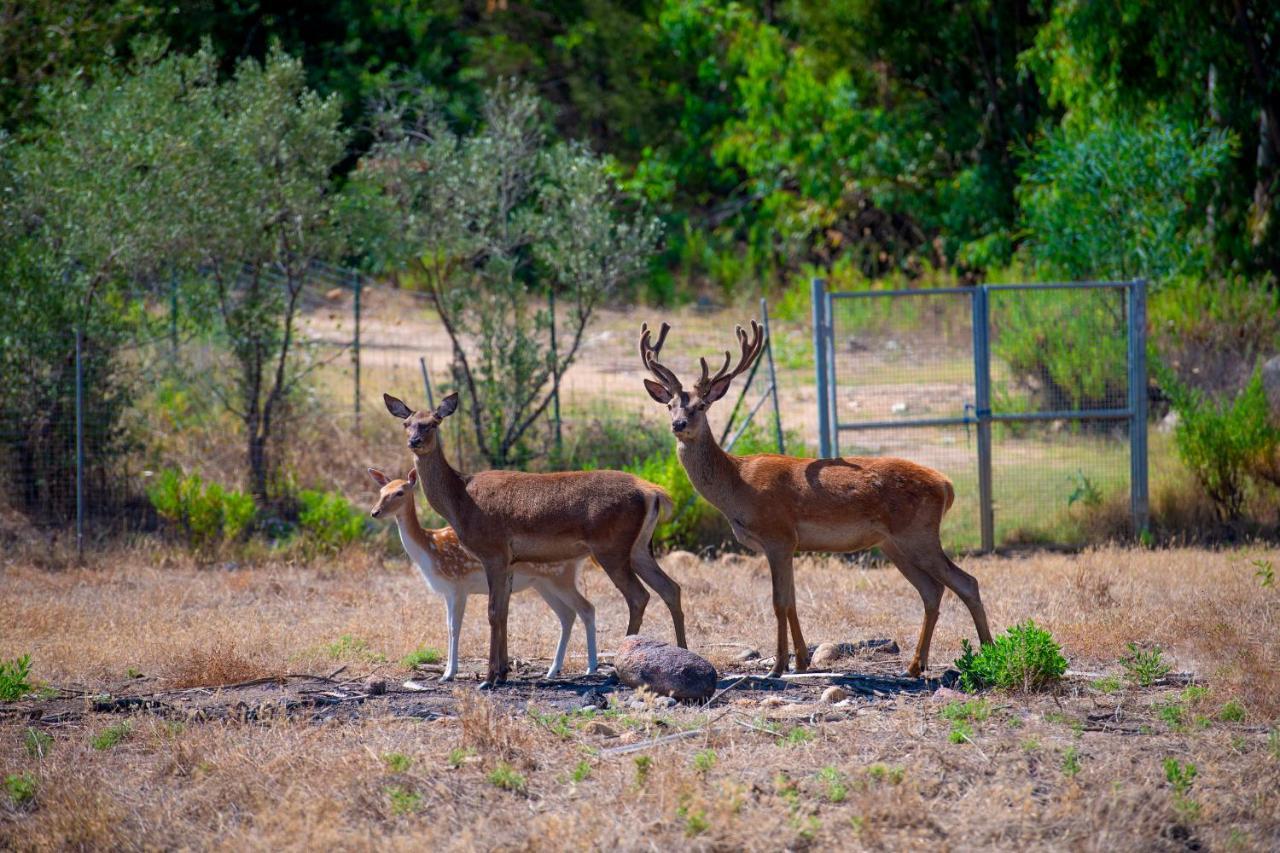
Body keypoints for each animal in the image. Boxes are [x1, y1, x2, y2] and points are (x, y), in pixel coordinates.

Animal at [378, 386, 686, 686]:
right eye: (406, 423)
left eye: (433, 422)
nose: (414, 441)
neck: (459, 502)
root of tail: (652, 492)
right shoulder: (509, 560)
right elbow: (504, 611)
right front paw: (502, 672)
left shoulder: (494, 552)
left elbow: (493, 612)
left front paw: (488, 678)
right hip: (639, 548)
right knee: (671, 587)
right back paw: (683, 652)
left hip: (611, 547)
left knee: (638, 596)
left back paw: (615, 670)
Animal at [645, 318, 993, 676]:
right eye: (670, 405)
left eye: (701, 406)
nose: (678, 424)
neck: (736, 487)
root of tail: (946, 485)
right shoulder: (789, 545)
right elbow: (792, 601)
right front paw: (800, 661)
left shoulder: (778, 536)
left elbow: (779, 602)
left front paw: (778, 666)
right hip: (893, 544)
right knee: (932, 590)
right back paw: (914, 665)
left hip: (918, 534)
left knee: (966, 582)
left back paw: (988, 653)